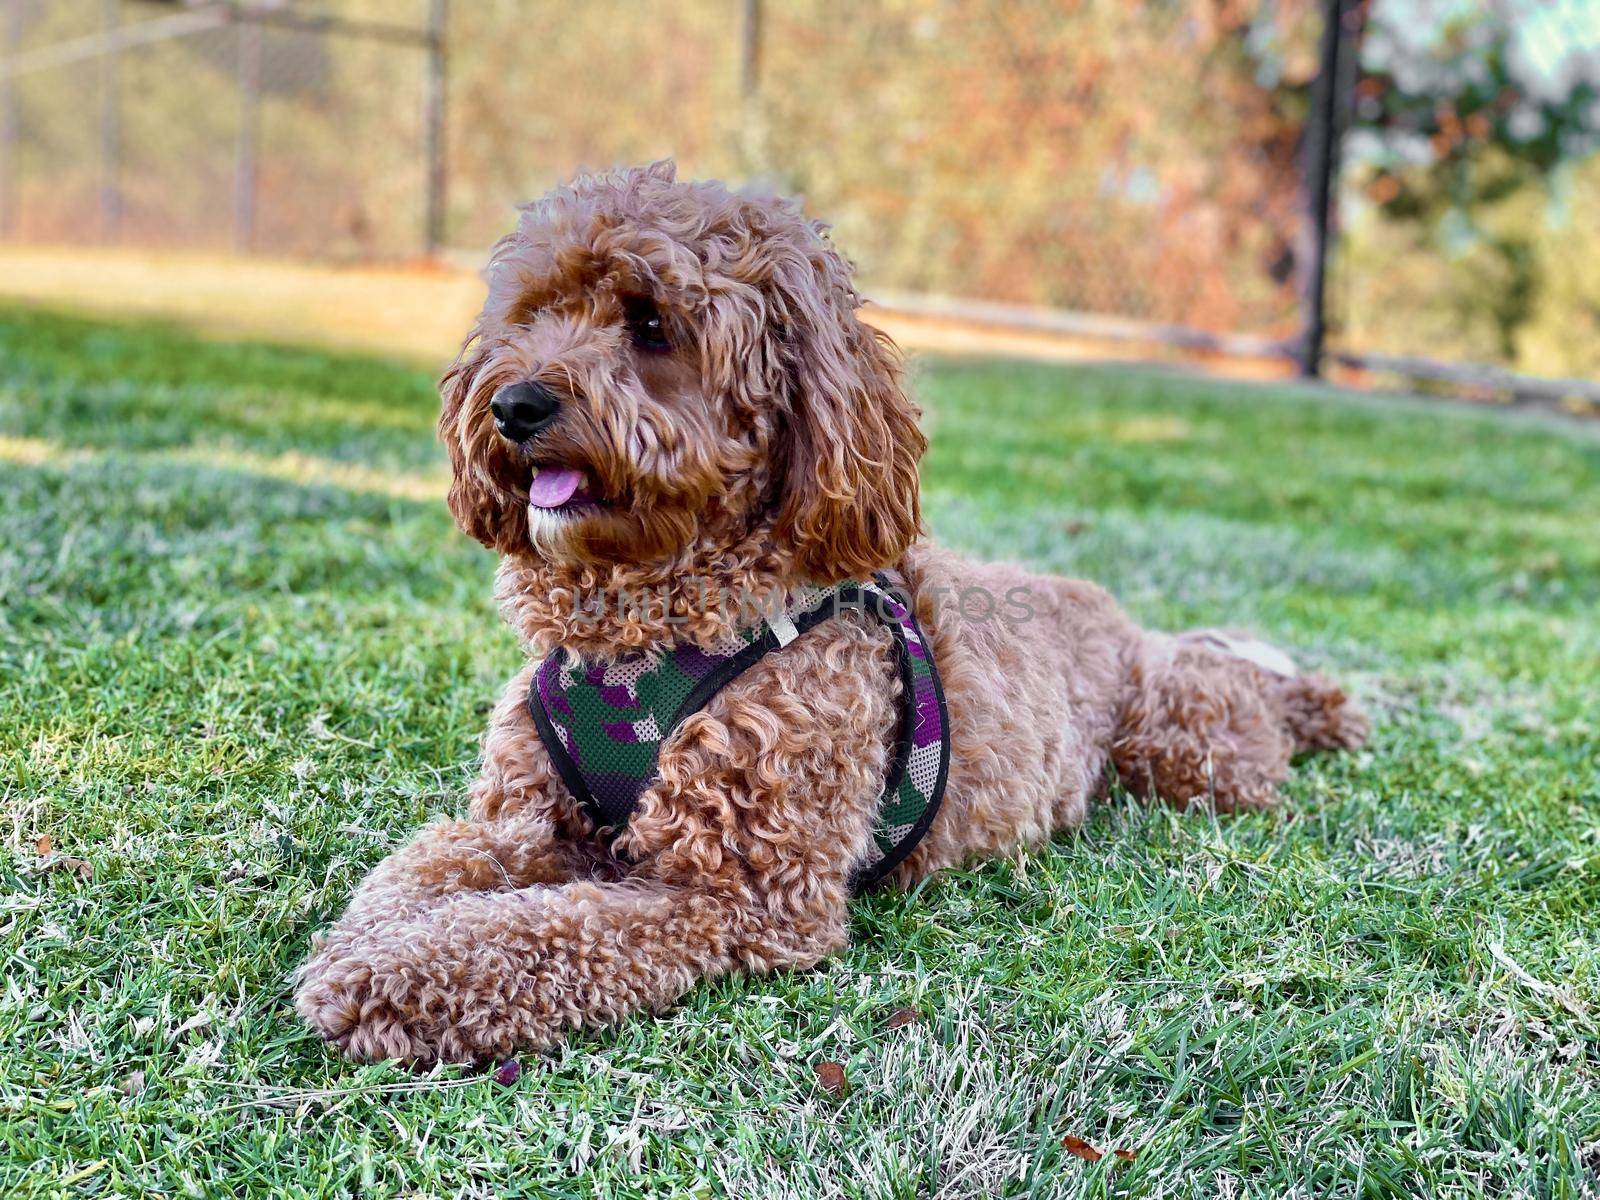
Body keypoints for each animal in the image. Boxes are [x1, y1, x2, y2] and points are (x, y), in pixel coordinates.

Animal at [291, 162, 1363, 1068]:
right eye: (533, 311)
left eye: (650, 324)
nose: (512, 403)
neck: (641, 633)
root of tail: (1117, 619)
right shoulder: (525, 820)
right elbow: (418, 872)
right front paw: (364, 940)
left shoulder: (738, 895)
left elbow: (542, 931)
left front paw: (393, 978)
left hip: (1190, 751)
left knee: (1242, 711)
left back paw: (1320, 703)